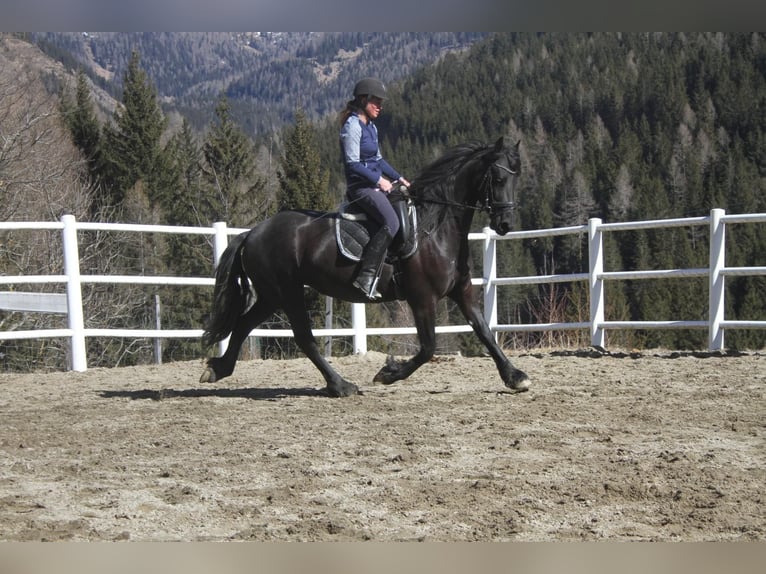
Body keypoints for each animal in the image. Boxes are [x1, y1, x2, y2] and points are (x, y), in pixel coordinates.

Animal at [201, 138, 532, 400]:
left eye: (517, 177)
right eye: (497, 178)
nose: (505, 224)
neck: (435, 228)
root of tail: (252, 233)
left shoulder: (461, 291)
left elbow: (484, 331)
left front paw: (515, 376)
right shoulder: (422, 298)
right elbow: (428, 347)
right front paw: (388, 373)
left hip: (272, 295)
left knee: (244, 325)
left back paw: (218, 369)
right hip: (288, 292)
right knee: (303, 337)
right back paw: (341, 385)